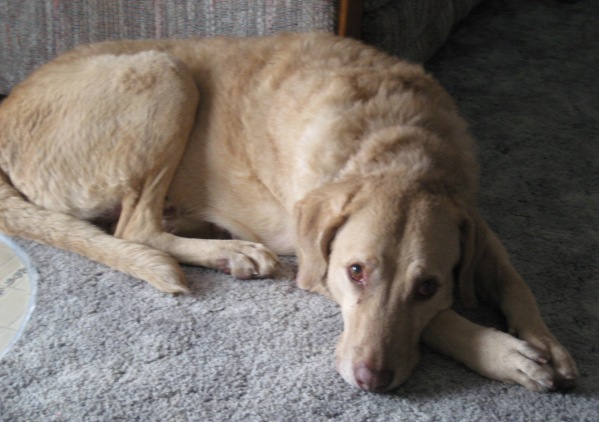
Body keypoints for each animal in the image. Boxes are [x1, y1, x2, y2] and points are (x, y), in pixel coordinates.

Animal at [1, 32, 580, 392]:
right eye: (355, 271)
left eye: (427, 286)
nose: (371, 381)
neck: (397, 147)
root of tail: (6, 111)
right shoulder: (316, 266)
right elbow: (443, 323)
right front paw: (501, 352)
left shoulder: (475, 222)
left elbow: (514, 283)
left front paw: (547, 342)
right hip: (166, 74)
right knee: (134, 227)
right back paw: (231, 251)